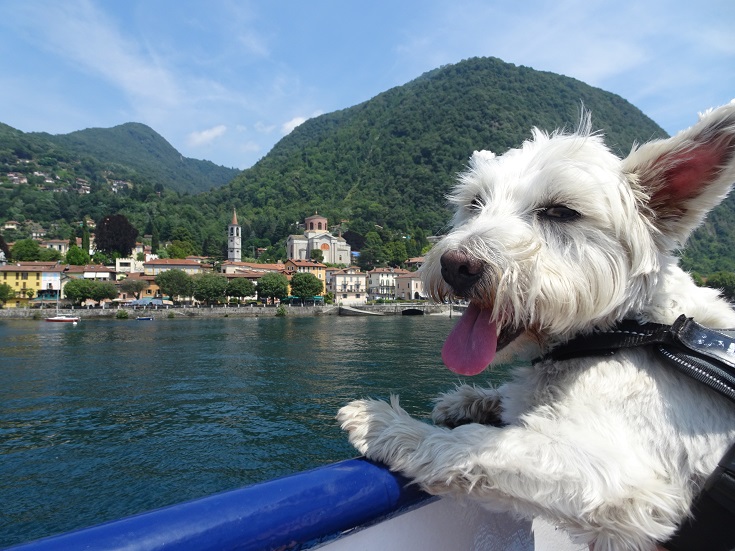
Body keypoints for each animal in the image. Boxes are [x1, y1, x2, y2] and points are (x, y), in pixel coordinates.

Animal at [342, 104, 735, 551]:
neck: (632, 329)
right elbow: (511, 399)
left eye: (561, 211)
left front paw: (386, 424)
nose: (456, 265)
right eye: (475, 203)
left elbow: (474, 445)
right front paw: (468, 400)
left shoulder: (620, 477)